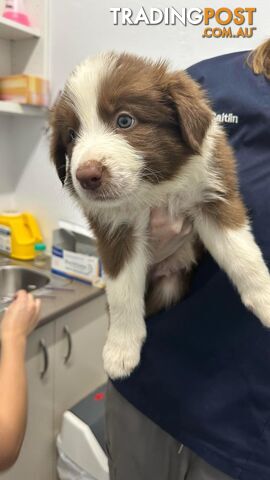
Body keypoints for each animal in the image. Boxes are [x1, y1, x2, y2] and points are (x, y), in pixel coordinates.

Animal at [49, 51, 270, 378]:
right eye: (72, 135)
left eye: (124, 120)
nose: (86, 176)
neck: (155, 188)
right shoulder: (116, 232)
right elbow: (122, 293)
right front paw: (120, 350)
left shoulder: (214, 196)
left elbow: (243, 256)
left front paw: (266, 299)